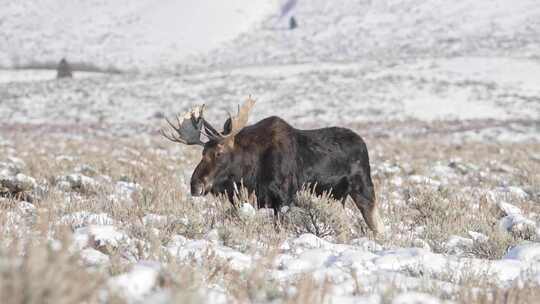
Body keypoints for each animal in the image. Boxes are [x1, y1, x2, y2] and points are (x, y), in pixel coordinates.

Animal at [160, 98, 384, 234]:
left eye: (219, 152)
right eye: (202, 152)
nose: (195, 185)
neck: (250, 171)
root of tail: (363, 143)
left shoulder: (283, 199)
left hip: (363, 189)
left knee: (376, 224)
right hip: (338, 198)